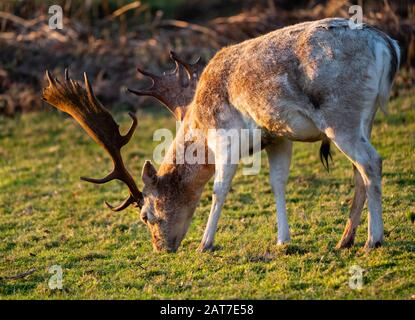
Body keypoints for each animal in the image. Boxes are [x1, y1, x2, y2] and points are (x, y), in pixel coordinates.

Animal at [42, 18, 400, 252]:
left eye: (146, 216)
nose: (161, 248)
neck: (200, 127)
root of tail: (389, 46)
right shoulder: (278, 137)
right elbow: (278, 183)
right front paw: (283, 241)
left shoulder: (225, 138)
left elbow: (218, 189)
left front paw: (205, 243)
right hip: (362, 119)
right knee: (359, 171)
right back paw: (346, 239)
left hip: (340, 115)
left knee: (372, 162)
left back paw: (373, 239)